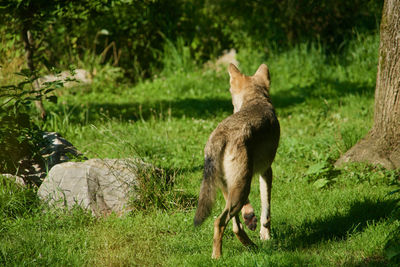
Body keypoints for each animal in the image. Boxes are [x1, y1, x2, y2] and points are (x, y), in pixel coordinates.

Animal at [192, 63, 280, 260]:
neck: (255, 99)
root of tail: (220, 135)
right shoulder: (267, 171)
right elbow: (267, 211)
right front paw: (266, 236)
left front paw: (251, 219)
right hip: (241, 188)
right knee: (219, 222)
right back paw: (217, 257)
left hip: (234, 190)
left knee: (235, 227)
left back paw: (251, 246)